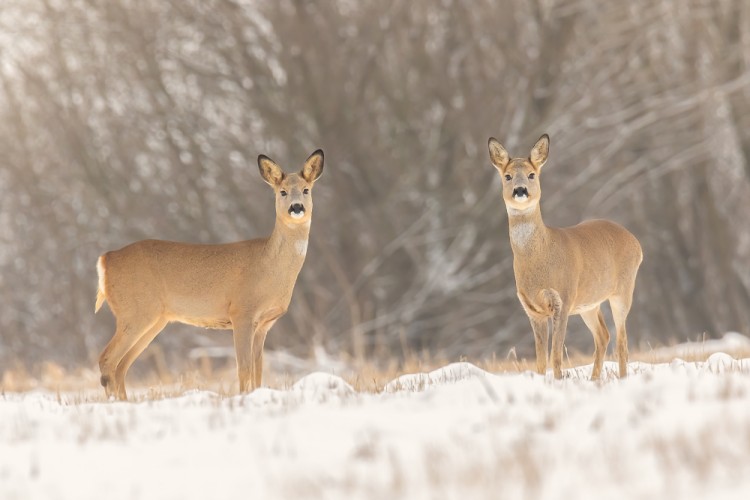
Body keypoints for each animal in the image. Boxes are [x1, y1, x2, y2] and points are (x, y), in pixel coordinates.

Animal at [94, 148, 324, 398]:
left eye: (306, 190)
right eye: (282, 191)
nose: (296, 207)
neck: (270, 267)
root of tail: (105, 260)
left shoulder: (264, 324)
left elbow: (259, 369)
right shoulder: (241, 312)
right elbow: (244, 367)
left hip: (154, 318)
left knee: (121, 366)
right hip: (135, 311)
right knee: (107, 359)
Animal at [490, 135, 644, 380]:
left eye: (532, 174)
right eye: (508, 176)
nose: (520, 190)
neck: (541, 257)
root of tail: (635, 241)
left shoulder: (563, 297)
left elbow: (556, 356)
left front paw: (558, 381)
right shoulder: (532, 308)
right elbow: (540, 361)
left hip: (622, 290)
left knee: (622, 341)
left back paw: (621, 379)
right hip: (589, 303)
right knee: (603, 335)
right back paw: (594, 380)